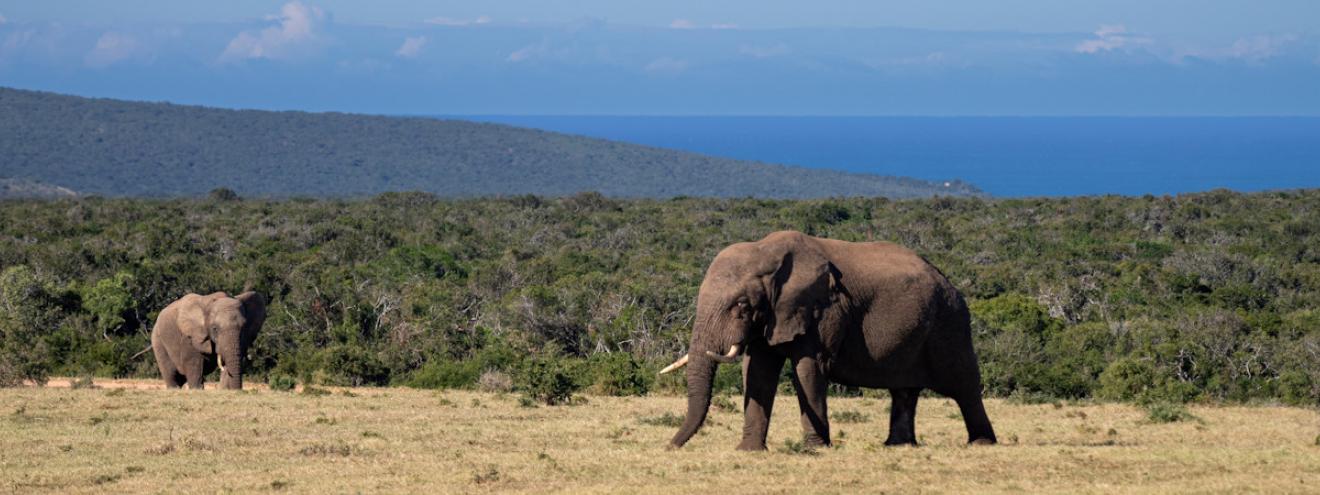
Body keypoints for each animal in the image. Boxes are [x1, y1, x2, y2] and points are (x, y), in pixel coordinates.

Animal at [660, 231, 996, 450]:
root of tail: (948, 280)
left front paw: (815, 449)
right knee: (904, 389)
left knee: (963, 383)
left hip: (949, 322)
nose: (669, 447)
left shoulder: (823, 309)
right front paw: (749, 451)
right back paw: (898, 446)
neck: (767, 253)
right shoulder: (773, 316)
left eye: (741, 305)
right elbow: (757, 371)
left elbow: (809, 368)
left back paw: (981, 443)